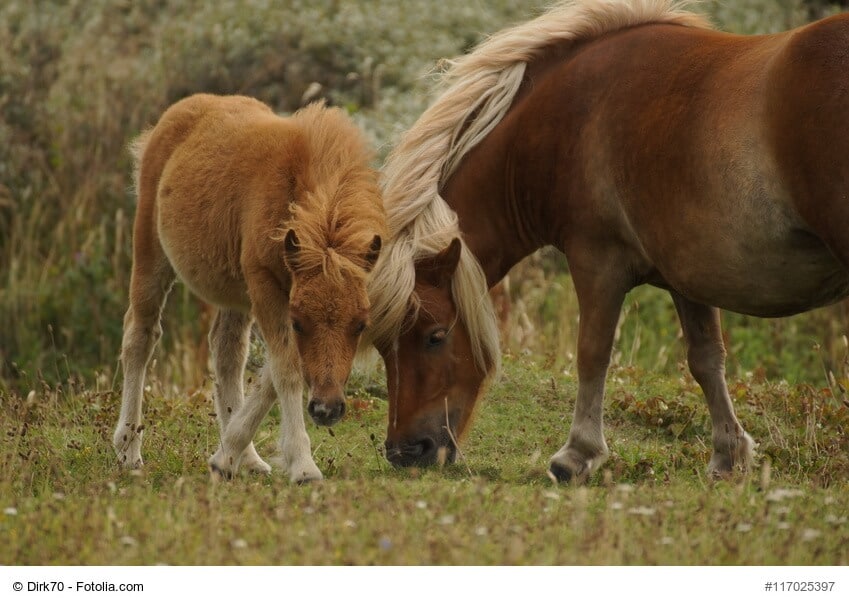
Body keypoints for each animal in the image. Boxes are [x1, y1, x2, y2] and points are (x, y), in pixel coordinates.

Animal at [114, 94, 386, 482]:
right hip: (151, 254)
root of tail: (176, 115)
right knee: (140, 336)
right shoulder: (266, 288)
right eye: (300, 322)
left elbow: (272, 370)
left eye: (361, 324)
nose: (327, 409)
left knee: (227, 353)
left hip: (234, 295)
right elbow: (287, 370)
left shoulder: (273, 294)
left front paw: (226, 455)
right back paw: (128, 451)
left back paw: (250, 460)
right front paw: (303, 466)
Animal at [367, 0, 849, 483]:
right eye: (382, 344)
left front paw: (576, 455)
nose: (405, 451)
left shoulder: (597, 261)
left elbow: (592, 353)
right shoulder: (687, 274)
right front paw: (728, 456)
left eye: (435, 336)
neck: (571, 116)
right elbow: (706, 359)